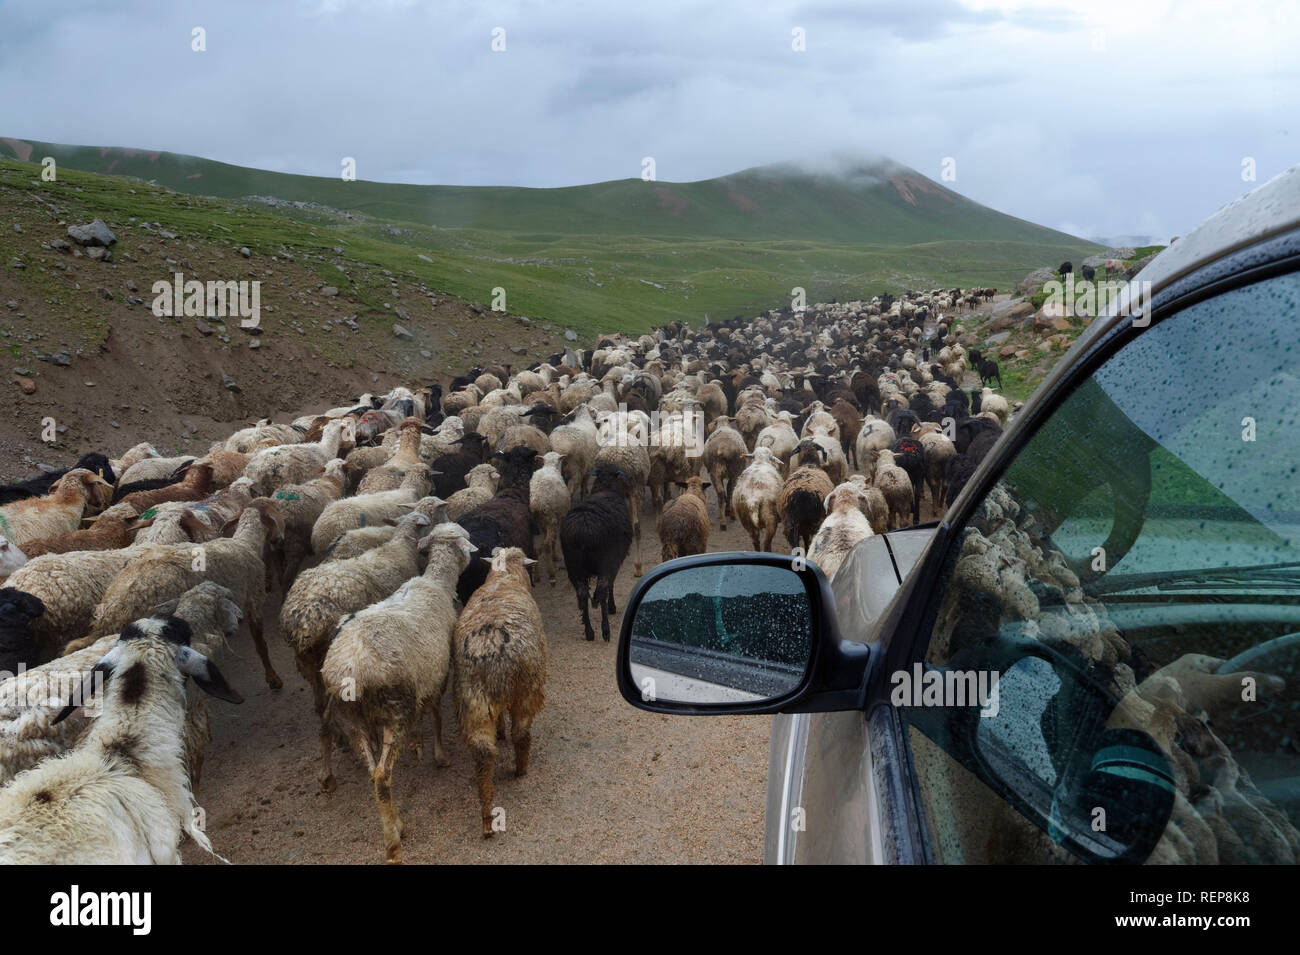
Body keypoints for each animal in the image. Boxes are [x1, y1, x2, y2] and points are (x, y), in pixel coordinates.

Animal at [564, 467, 634, 641]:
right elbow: (611, 584)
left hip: (573, 567)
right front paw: (611, 607)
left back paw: (589, 631)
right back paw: (605, 629)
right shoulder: (614, 562)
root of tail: (583, 527)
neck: (606, 488)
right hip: (604, 562)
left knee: (582, 594)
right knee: (602, 589)